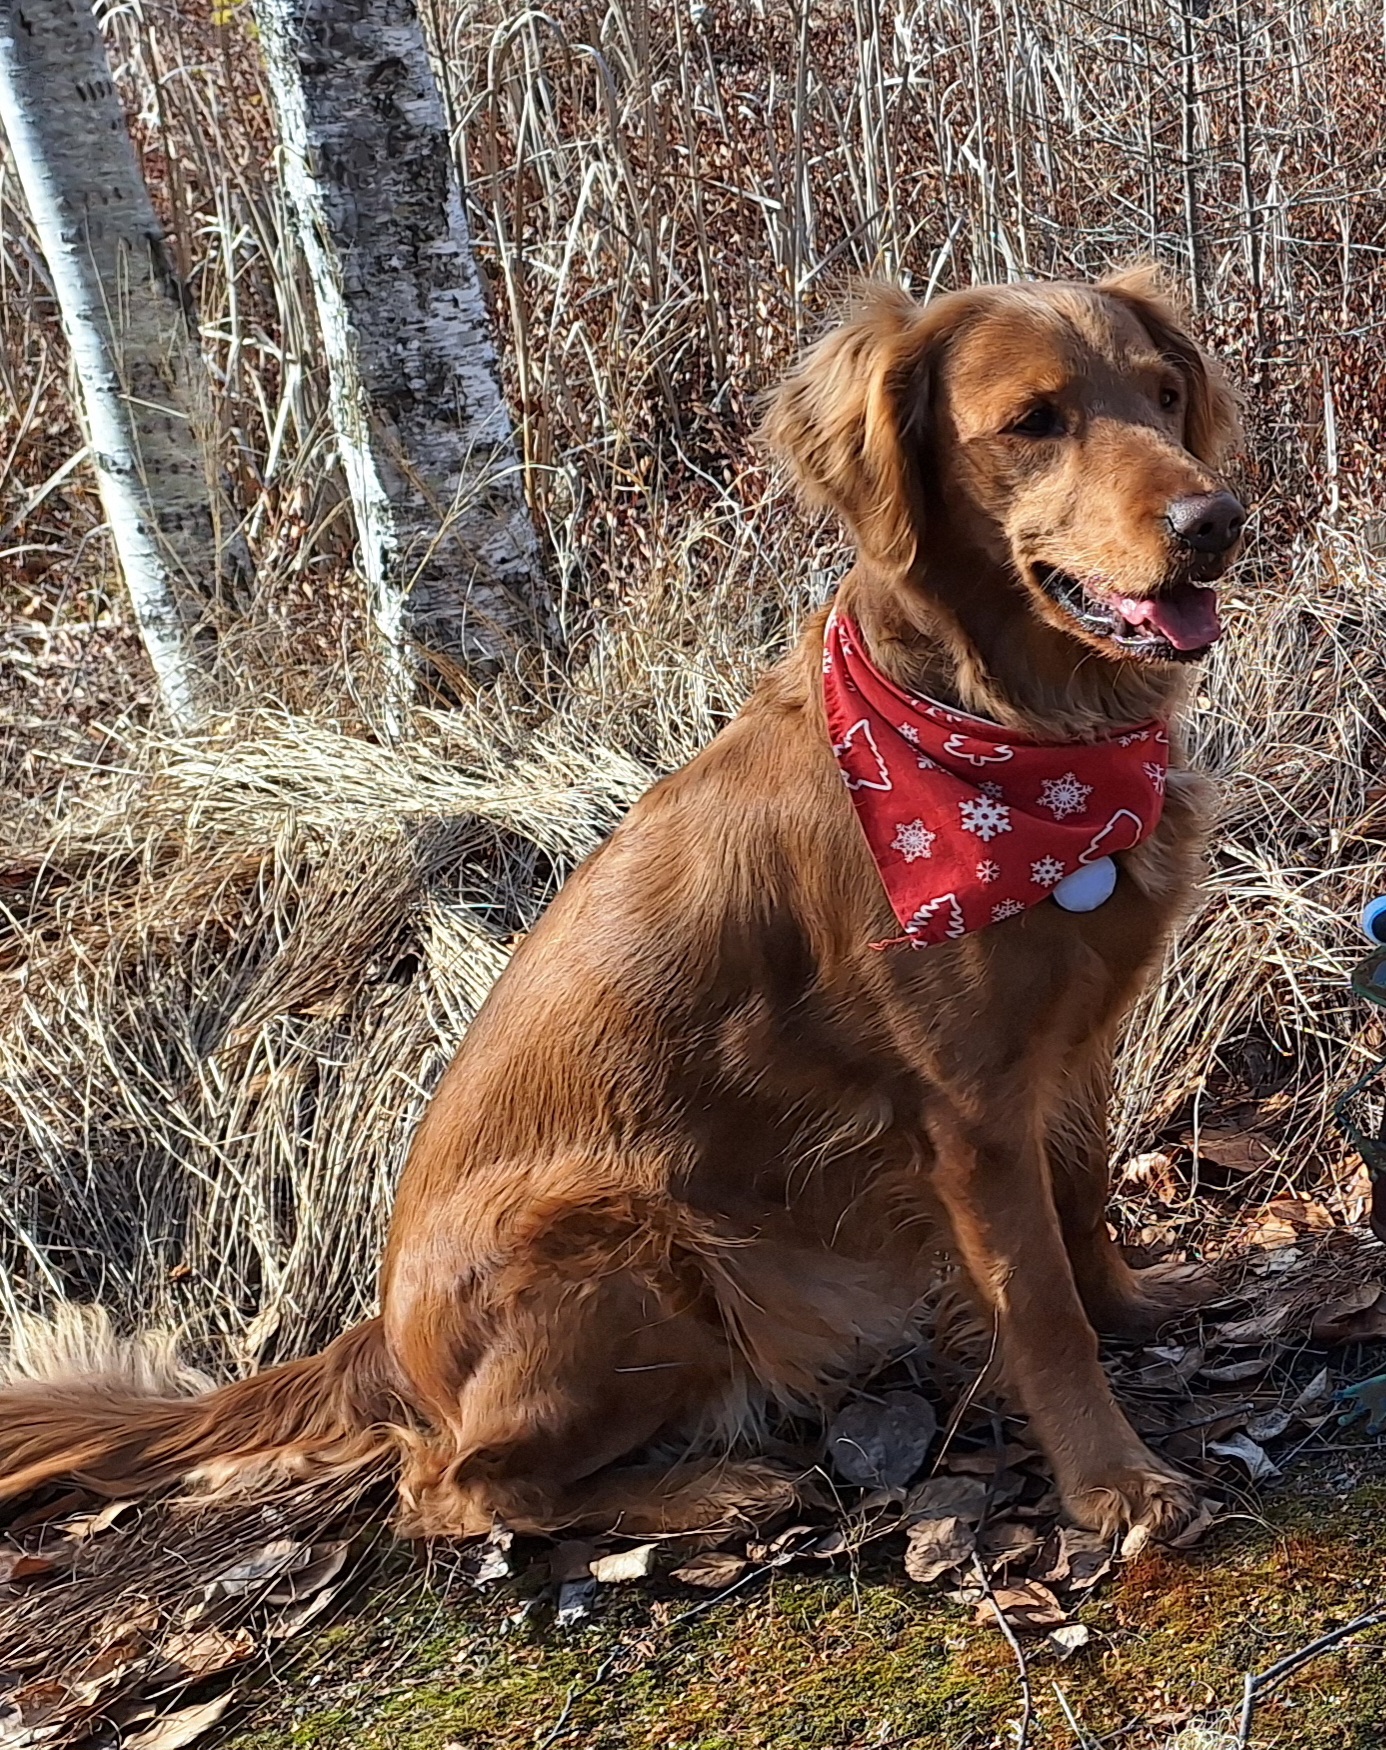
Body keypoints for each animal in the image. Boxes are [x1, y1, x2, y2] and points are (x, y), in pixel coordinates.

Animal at [0, 266, 1246, 1540]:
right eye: (1035, 420)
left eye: (1162, 392)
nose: (1215, 522)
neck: (1014, 735)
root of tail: (383, 1339)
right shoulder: (970, 1108)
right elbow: (1039, 1305)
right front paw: (1113, 1481)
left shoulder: (1072, 1042)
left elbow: (1084, 1202)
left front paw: (1141, 1302)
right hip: (628, 1238)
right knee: (456, 1487)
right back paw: (718, 1489)